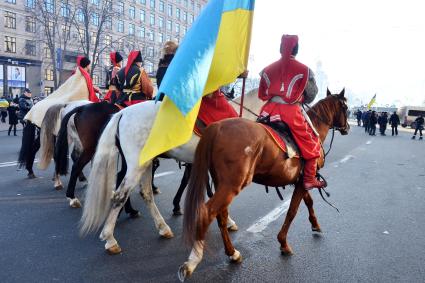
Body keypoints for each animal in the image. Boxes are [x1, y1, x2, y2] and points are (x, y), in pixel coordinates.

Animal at [79, 89, 262, 255]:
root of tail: (123, 112)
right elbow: (214, 194)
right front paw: (227, 221)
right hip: (136, 165)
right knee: (120, 195)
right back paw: (110, 238)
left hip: (146, 163)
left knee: (146, 193)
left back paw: (162, 227)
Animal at [179, 89, 348, 282]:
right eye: (346, 108)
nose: (347, 128)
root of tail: (217, 126)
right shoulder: (303, 181)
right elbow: (292, 211)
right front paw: (283, 243)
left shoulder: (301, 180)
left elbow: (308, 202)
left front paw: (315, 224)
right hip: (231, 185)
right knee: (207, 213)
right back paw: (193, 261)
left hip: (221, 183)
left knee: (221, 215)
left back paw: (232, 253)